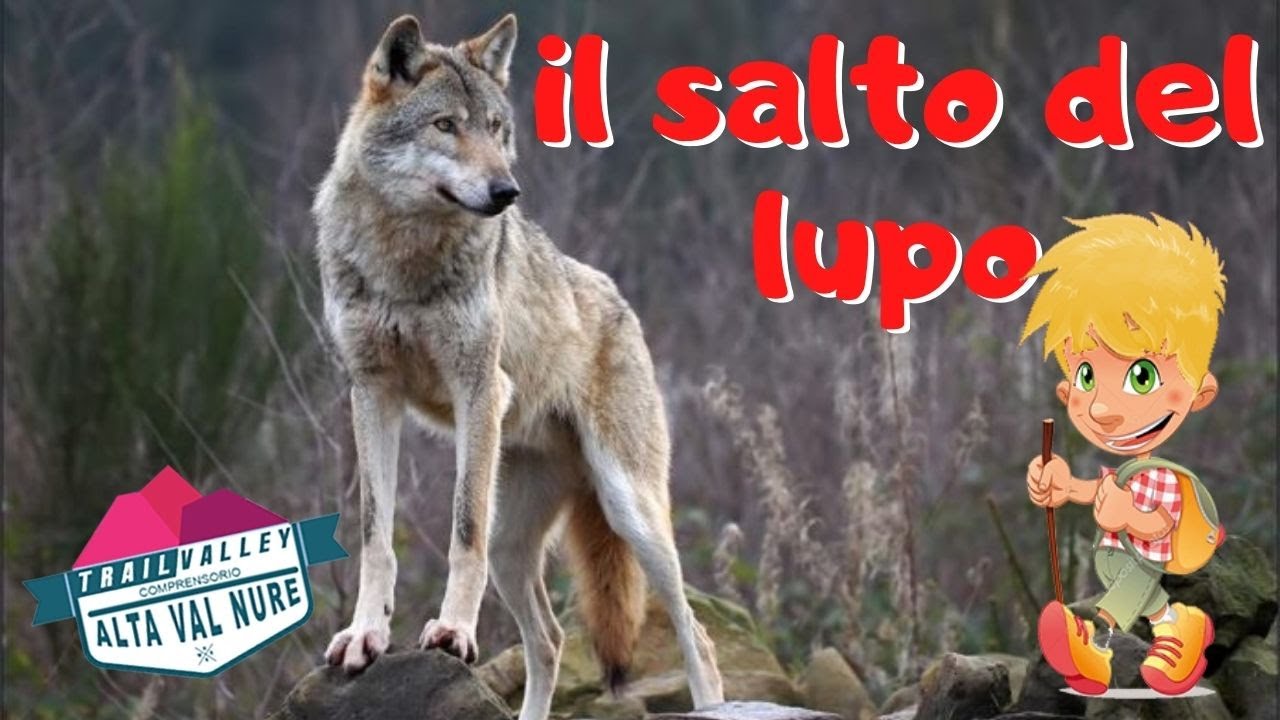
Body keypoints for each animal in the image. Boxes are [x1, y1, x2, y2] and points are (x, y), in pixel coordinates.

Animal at [312, 13, 724, 720]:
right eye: (445, 125)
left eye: (496, 128)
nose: (507, 191)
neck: (405, 259)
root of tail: (622, 303)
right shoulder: (370, 392)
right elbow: (374, 535)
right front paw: (366, 635)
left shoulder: (478, 386)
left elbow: (461, 531)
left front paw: (451, 630)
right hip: (516, 547)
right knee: (552, 639)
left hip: (631, 511)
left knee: (695, 633)